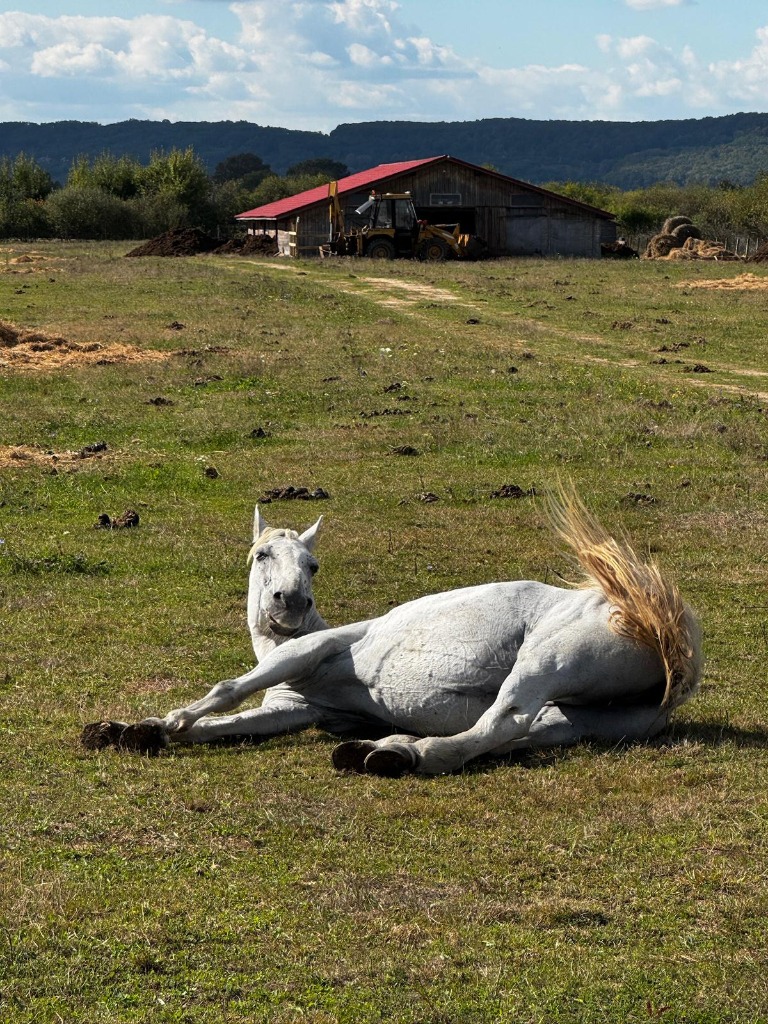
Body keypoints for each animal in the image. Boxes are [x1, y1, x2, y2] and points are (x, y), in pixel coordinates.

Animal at [81, 489, 702, 776]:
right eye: (262, 555)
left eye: (313, 565)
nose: (291, 603)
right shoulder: (295, 709)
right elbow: (232, 724)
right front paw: (140, 730)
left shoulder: (308, 651)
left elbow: (226, 690)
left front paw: (163, 723)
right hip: (584, 718)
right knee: (519, 733)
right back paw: (385, 747)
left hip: (545, 664)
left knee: (503, 722)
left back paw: (403, 757)